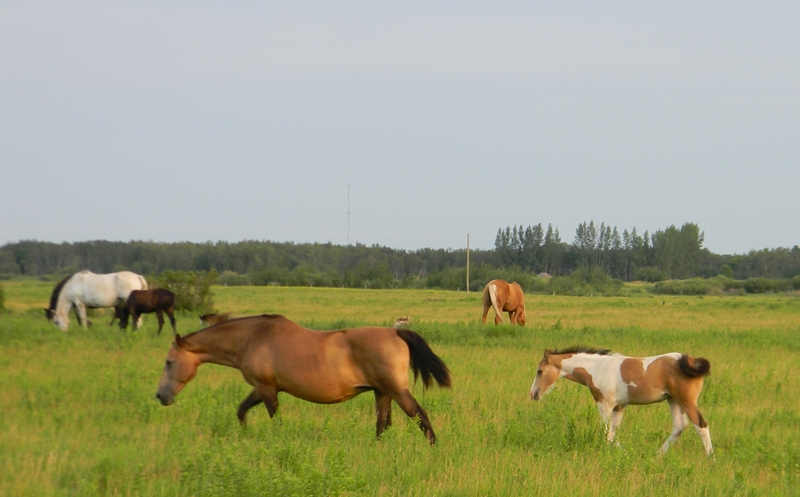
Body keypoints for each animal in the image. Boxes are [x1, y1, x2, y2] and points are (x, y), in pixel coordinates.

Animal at [156, 314, 452, 444]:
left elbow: (276, 419)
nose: (161, 396)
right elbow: (241, 410)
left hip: (396, 391)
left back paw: (433, 448)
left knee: (420, 416)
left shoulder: (267, 389)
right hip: (381, 392)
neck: (253, 338)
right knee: (383, 424)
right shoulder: (263, 388)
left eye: (169, 362)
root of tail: (396, 333)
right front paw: (245, 434)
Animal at [529, 346, 713, 456]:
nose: (533, 394)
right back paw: (657, 455)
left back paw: (710, 458)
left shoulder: (605, 405)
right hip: (673, 401)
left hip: (686, 401)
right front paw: (623, 453)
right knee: (679, 426)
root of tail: (692, 362)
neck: (597, 368)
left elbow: (606, 433)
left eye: (540, 371)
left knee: (701, 425)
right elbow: (613, 433)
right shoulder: (619, 407)